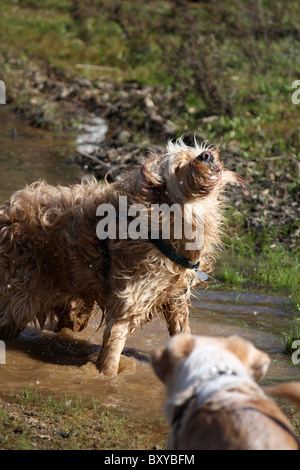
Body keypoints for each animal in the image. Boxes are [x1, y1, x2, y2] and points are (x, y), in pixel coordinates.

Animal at [0, 138, 239, 376]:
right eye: (179, 167)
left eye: (195, 152)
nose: (206, 155)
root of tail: (6, 211)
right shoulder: (128, 303)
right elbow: (112, 351)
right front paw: (107, 378)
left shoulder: (176, 299)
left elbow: (182, 332)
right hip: (20, 298)